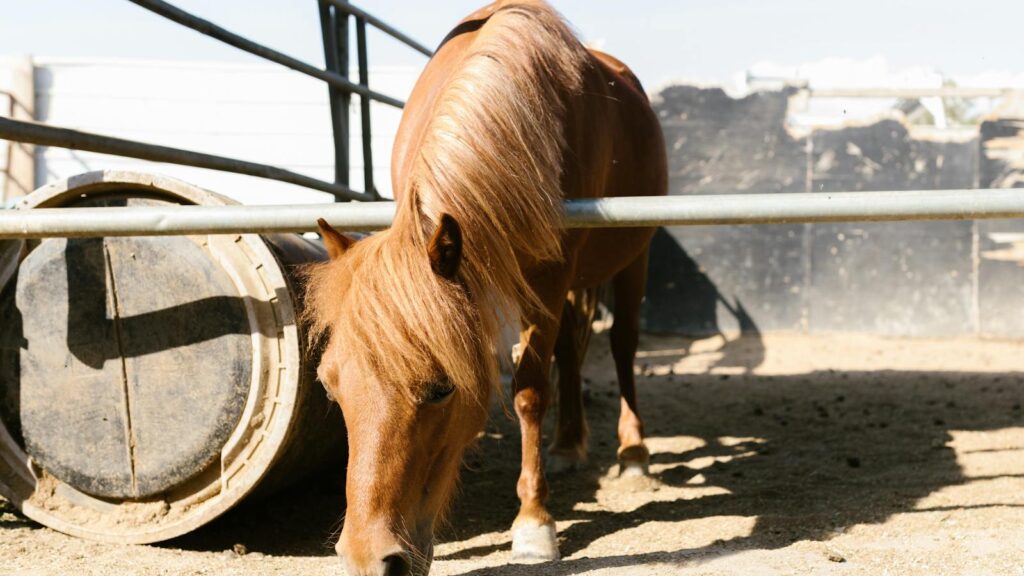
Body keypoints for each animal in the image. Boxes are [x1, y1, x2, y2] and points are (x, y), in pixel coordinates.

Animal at [304, 2, 667, 574]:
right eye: (329, 386)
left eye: (441, 389)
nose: (368, 558)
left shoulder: (549, 276)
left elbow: (529, 390)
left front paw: (534, 523)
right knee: (571, 349)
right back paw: (567, 446)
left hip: (634, 258)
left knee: (623, 345)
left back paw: (633, 454)